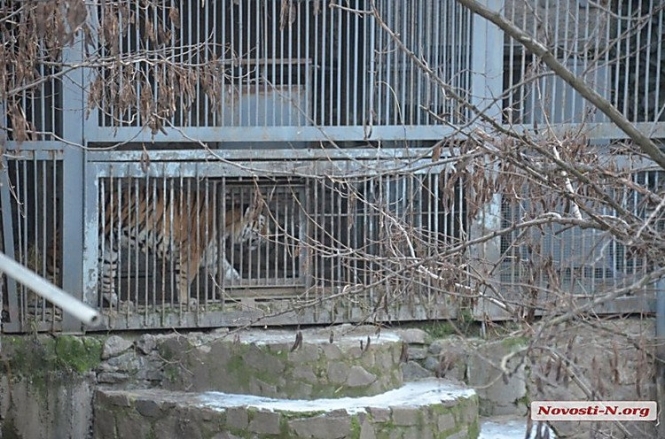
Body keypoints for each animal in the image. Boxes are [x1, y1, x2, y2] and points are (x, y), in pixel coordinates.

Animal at [48, 186, 268, 310]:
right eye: (262, 224)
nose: (271, 237)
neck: (227, 226)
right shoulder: (192, 252)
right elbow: (185, 279)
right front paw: (186, 301)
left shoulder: (212, 255)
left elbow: (232, 273)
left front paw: (244, 290)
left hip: (109, 252)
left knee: (106, 281)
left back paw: (121, 304)